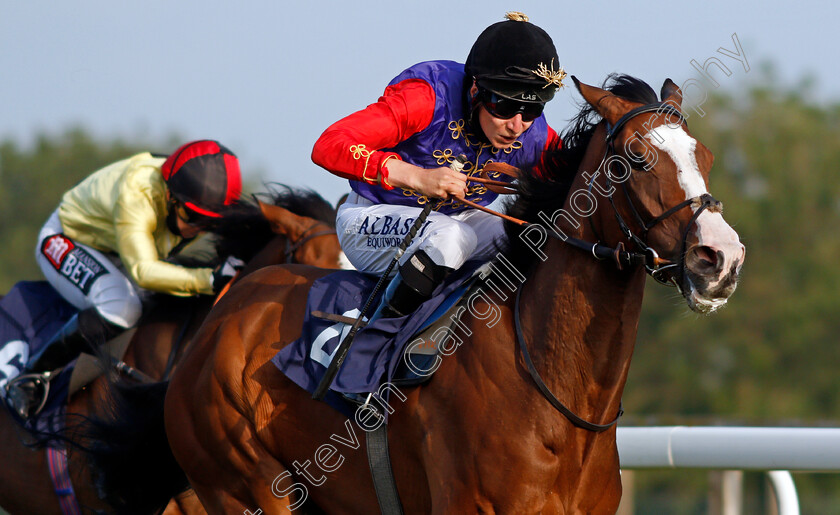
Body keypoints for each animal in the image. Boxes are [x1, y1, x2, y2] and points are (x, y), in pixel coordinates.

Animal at [83, 77, 748, 515]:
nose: (720, 257)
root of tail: (218, 321)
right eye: (634, 158)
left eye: (706, 155)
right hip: (244, 488)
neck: (557, 398)